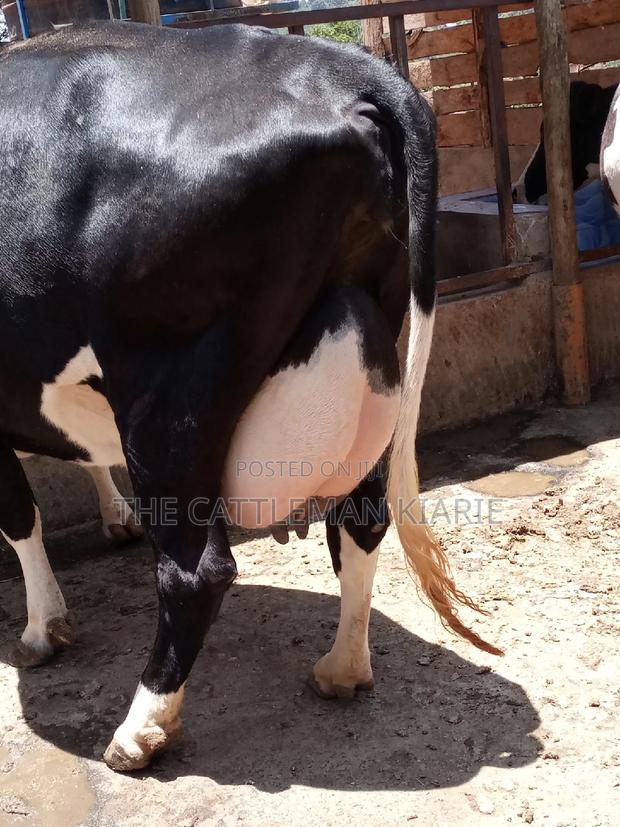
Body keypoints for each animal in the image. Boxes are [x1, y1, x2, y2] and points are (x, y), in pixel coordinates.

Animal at [0, 22, 500, 773]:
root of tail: (347, 71)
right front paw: (111, 520)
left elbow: (18, 515)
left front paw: (40, 629)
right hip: (372, 333)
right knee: (362, 520)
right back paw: (342, 668)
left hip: (166, 393)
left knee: (195, 569)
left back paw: (140, 729)